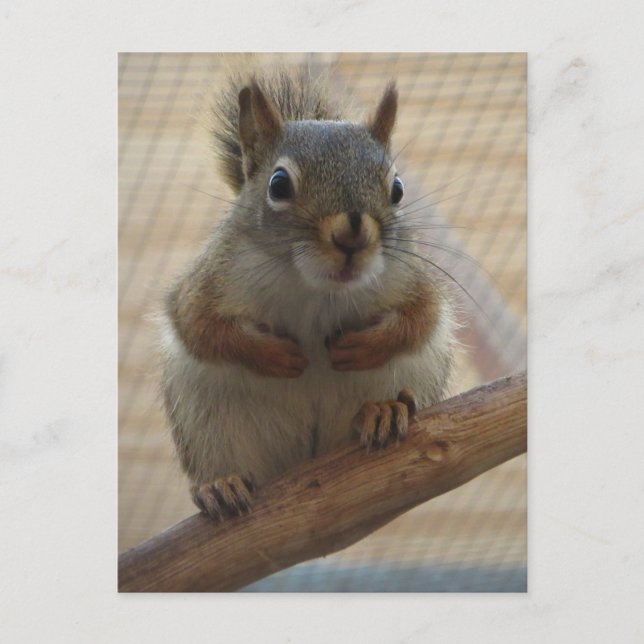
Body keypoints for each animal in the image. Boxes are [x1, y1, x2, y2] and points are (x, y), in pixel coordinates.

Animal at [161, 67, 456, 520]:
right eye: (279, 185)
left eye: (398, 188)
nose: (352, 233)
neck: (316, 287)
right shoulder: (208, 283)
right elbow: (200, 327)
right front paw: (271, 355)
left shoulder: (410, 278)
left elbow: (422, 318)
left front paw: (364, 347)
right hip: (206, 420)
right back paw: (220, 485)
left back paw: (383, 410)